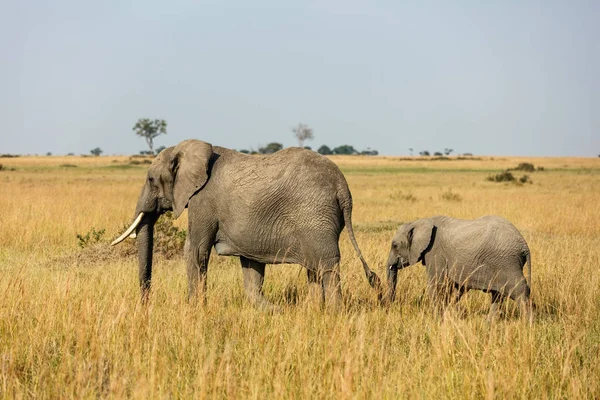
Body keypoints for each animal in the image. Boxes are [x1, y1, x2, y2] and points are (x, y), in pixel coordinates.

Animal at [112, 140, 380, 310]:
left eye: (151, 179)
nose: (145, 304)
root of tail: (343, 188)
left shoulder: (202, 200)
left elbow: (195, 250)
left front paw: (195, 309)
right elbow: (251, 266)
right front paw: (273, 311)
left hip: (315, 216)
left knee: (327, 266)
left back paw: (334, 314)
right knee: (314, 269)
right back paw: (313, 311)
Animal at [386, 216, 532, 322]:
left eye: (395, 245)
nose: (391, 304)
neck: (418, 221)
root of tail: (524, 245)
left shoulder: (434, 252)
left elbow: (437, 284)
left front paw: (436, 318)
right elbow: (451, 286)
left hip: (507, 262)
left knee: (519, 290)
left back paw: (527, 324)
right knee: (498, 294)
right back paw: (489, 323)